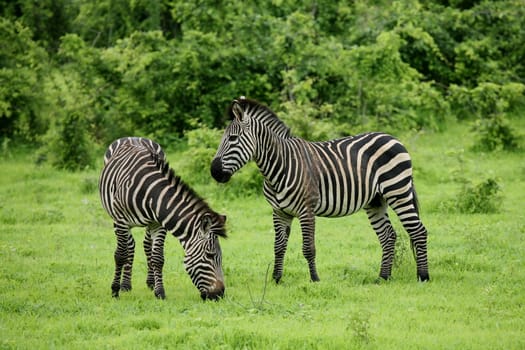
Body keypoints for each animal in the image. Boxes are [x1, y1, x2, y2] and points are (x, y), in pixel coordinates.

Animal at [99, 137, 226, 300]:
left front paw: (159, 292)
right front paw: (115, 290)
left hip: (149, 223)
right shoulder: (121, 221)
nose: (220, 294)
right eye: (210, 255)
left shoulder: (159, 224)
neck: (150, 193)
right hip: (117, 219)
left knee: (146, 245)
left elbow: (158, 258)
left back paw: (150, 282)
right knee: (129, 246)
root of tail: (133, 137)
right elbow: (120, 255)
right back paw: (125, 285)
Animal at [211, 97, 428, 284]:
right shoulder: (279, 212)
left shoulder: (306, 210)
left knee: (418, 231)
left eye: (232, 138)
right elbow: (279, 247)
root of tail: (393, 138)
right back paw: (383, 277)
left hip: (398, 191)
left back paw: (423, 276)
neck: (280, 165)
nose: (214, 172)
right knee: (388, 236)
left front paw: (315, 279)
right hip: (376, 200)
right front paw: (276, 279)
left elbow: (309, 248)